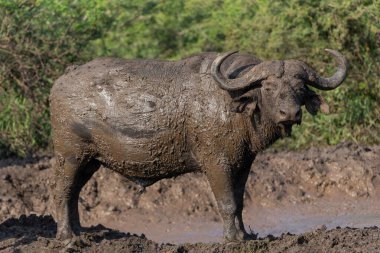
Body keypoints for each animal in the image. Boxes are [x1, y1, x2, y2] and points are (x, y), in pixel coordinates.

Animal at [49, 49, 348, 241]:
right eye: (269, 87)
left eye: (300, 87)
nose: (290, 114)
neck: (233, 104)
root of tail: (62, 80)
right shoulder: (216, 163)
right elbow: (227, 203)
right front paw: (232, 239)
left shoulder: (243, 163)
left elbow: (240, 202)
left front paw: (245, 235)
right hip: (70, 156)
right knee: (61, 191)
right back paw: (67, 237)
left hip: (91, 162)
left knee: (74, 193)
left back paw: (79, 232)